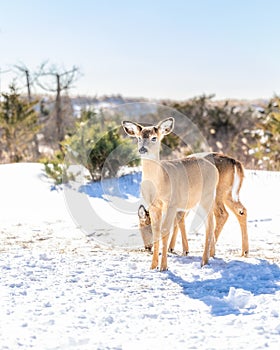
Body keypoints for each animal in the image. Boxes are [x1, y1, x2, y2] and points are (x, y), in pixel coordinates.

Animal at [122, 117, 219, 270]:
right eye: (138, 138)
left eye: (154, 138)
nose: (142, 149)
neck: (159, 181)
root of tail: (215, 169)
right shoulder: (154, 205)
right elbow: (156, 231)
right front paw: (152, 266)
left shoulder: (171, 203)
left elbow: (165, 230)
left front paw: (163, 267)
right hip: (193, 202)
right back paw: (210, 256)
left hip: (207, 197)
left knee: (209, 225)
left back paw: (204, 261)